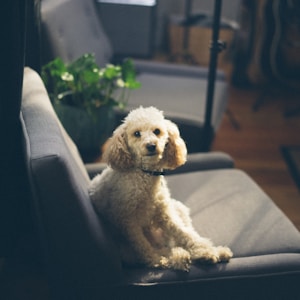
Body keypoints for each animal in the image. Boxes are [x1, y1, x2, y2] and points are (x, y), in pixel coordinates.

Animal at [89, 106, 232, 270]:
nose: (151, 145)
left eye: (157, 131)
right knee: (169, 252)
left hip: (178, 208)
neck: (145, 174)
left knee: (184, 236)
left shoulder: (165, 213)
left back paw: (217, 251)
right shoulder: (126, 220)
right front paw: (155, 260)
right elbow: (141, 244)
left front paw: (205, 251)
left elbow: (184, 233)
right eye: (136, 133)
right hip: (127, 251)